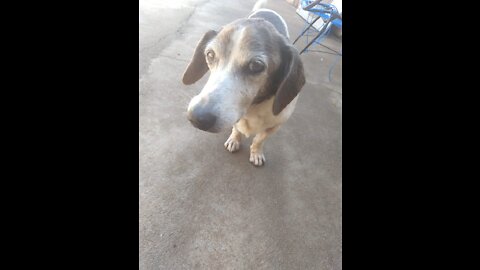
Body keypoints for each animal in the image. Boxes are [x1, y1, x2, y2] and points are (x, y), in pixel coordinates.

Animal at [182, 0, 306, 167]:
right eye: (210, 54)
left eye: (256, 65)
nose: (196, 118)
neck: (254, 107)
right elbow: (237, 129)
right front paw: (234, 139)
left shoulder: (275, 125)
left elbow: (259, 139)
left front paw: (256, 152)